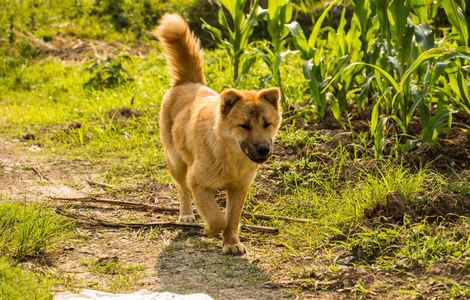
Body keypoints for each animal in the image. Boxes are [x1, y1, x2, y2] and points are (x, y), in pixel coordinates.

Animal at [154, 14, 280, 255]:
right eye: (244, 125)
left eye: (267, 124)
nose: (263, 149)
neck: (229, 155)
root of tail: (188, 82)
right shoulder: (198, 182)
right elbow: (217, 218)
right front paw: (211, 230)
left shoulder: (239, 188)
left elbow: (232, 219)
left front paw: (231, 242)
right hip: (176, 162)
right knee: (182, 190)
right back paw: (186, 214)